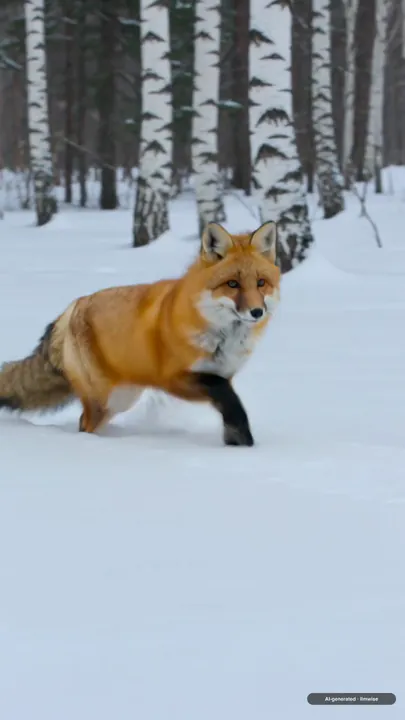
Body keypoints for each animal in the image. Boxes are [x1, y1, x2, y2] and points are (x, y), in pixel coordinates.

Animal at [0, 221, 280, 446]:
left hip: (121, 398)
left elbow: (229, 405)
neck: (222, 338)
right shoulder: (175, 378)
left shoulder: (224, 375)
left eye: (261, 283)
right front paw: (244, 441)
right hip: (108, 399)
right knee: (84, 424)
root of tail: (72, 307)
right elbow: (230, 401)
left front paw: (235, 442)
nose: (257, 312)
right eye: (232, 284)